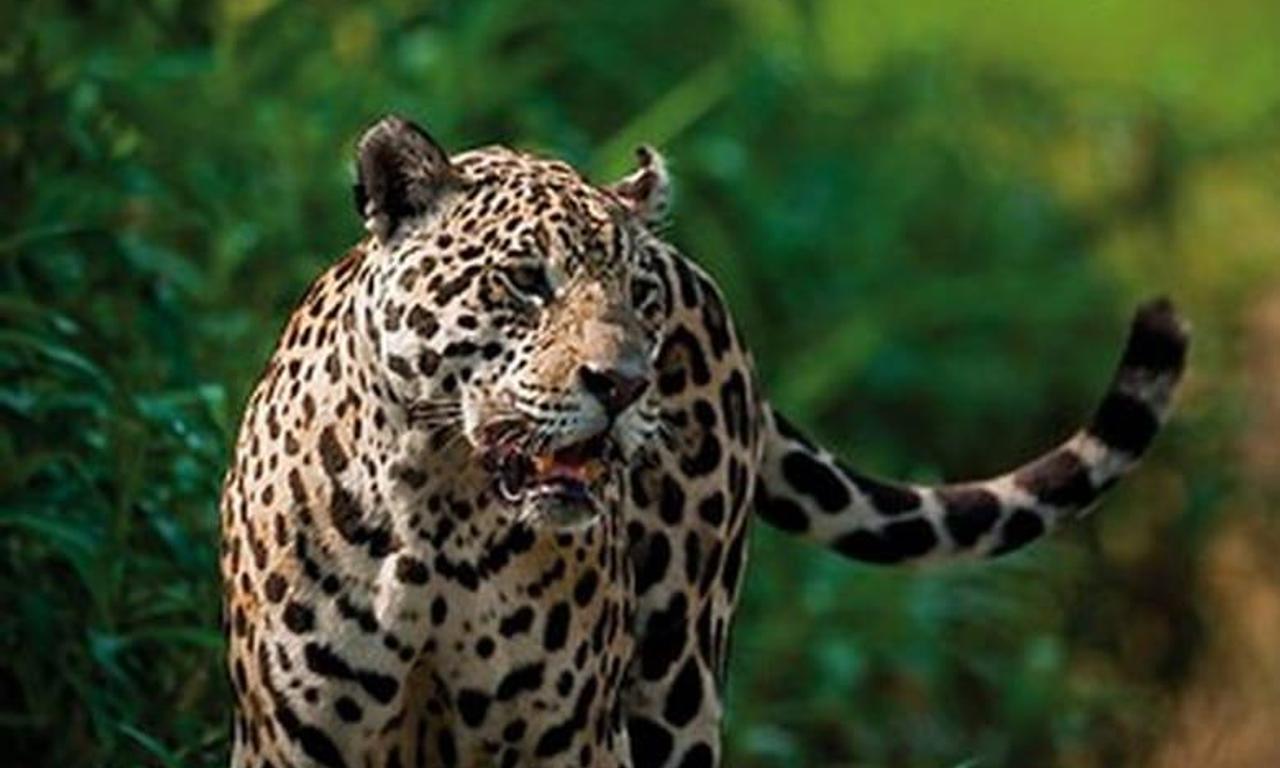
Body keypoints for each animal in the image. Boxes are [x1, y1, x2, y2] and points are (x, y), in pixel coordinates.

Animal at [219, 115, 1189, 768]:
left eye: (638, 296)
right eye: (527, 281)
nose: (622, 384)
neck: (440, 521)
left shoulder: (572, 740)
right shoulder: (291, 740)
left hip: (679, 683)